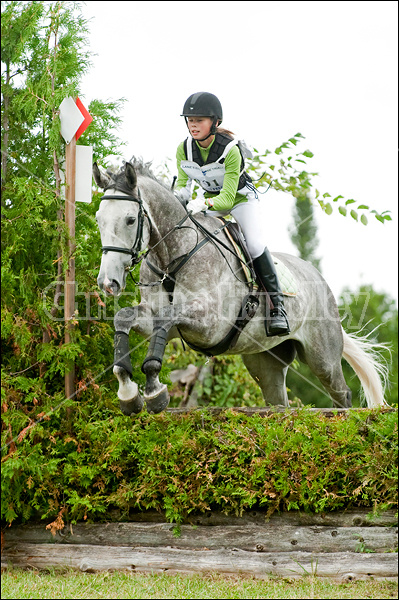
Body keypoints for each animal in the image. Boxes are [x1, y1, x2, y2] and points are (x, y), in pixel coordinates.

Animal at [94, 158, 388, 412]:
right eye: (99, 219)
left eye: (131, 220)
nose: (108, 282)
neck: (172, 259)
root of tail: (319, 278)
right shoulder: (157, 318)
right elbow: (125, 317)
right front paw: (128, 392)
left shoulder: (209, 325)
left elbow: (166, 318)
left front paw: (154, 390)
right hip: (265, 361)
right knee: (278, 402)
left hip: (323, 358)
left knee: (342, 396)